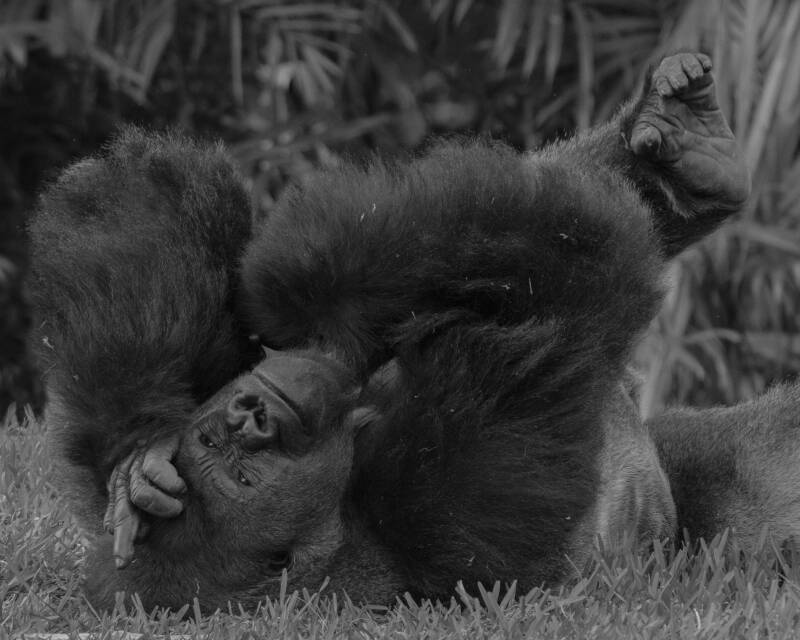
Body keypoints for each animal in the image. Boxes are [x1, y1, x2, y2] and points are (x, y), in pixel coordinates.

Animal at [29, 53, 754, 612]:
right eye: (242, 478)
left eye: (212, 440)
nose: (251, 414)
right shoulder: (441, 510)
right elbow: (562, 269)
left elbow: (148, 202)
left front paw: (137, 456)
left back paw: (687, 156)